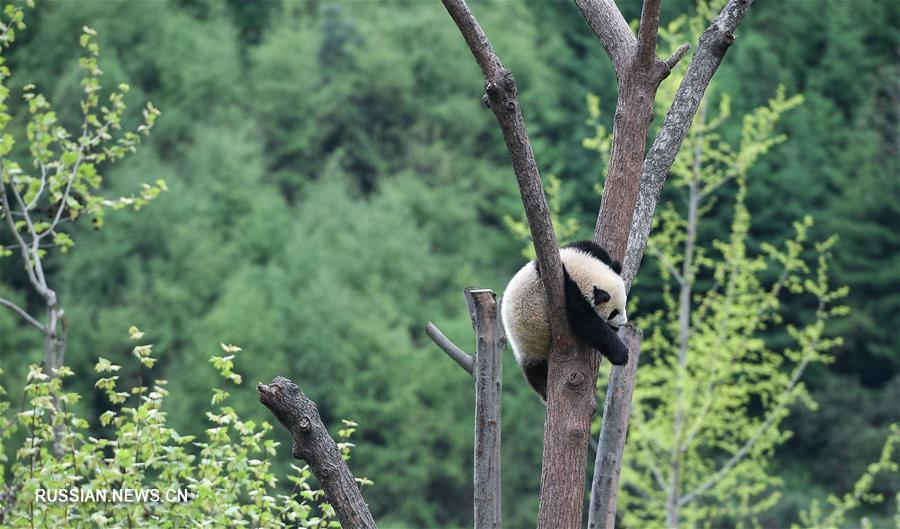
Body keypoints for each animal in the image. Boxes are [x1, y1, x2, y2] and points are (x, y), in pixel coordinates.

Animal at [500, 240, 632, 400]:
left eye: (624, 305)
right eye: (613, 313)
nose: (622, 324)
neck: (578, 271)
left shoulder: (577, 251)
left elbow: (593, 248)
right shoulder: (566, 292)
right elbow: (586, 323)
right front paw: (621, 354)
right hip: (528, 344)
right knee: (535, 371)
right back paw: (544, 389)